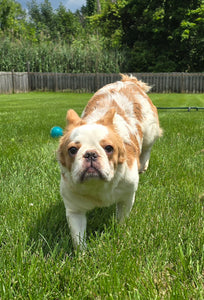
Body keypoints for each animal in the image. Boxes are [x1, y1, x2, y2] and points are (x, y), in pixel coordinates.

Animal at [57, 74, 163, 250]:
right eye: (72, 150)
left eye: (108, 148)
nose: (90, 154)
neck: (98, 186)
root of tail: (129, 81)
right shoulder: (74, 209)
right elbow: (78, 237)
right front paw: (82, 254)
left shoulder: (127, 196)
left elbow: (122, 218)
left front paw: (120, 233)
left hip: (150, 131)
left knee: (147, 147)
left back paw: (143, 165)